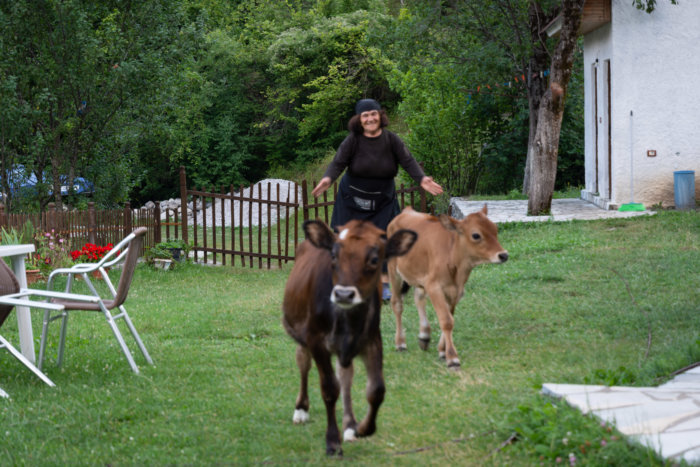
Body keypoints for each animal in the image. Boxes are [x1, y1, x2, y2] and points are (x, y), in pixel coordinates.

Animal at [284, 220, 416, 458]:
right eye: (333, 255)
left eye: (374, 259)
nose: (344, 294)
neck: (347, 320)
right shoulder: (316, 341)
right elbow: (329, 389)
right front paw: (332, 442)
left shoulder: (372, 340)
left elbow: (376, 390)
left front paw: (361, 428)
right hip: (302, 337)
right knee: (303, 364)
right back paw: (301, 410)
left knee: (346, 376)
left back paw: (349, 425)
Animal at [386, 207, 506, 372]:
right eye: (476, 235)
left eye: (495, 229)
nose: (503, 255)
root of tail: (405, 211)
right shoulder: (434, 287)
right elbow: (446, 320)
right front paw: (452, 358)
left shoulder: (456, 291)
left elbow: (450, 317)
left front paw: (442, 351)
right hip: (394, 271)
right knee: (397, 304)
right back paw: (400, 343)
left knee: (419, 298)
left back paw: (424, 335)